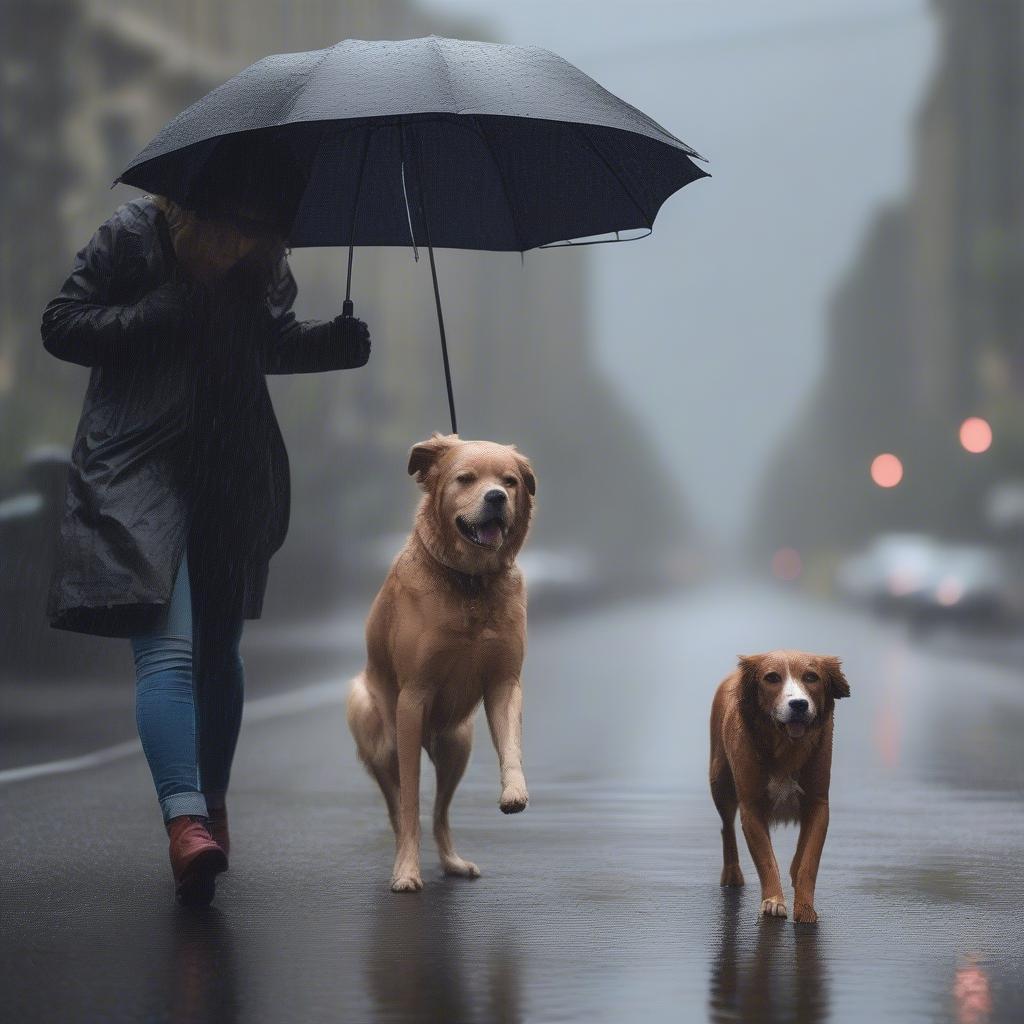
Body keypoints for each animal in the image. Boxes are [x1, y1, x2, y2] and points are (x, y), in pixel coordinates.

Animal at [346, 432, 536, 888]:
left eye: (510, 481)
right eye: (465, 478)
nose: (496, 496)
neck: (470, 584)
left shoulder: (504, 682)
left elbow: (511, 745)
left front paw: (514, 792)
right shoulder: (413, 697)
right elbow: (410, 801)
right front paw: (407, 872)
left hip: (457, 744)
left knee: (441, 814)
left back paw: (452, 861)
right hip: (376, 730)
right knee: (401, 808)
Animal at [712, 651, 847, 925]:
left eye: (811, 677)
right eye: (772, 678)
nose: (799, 704)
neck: (786, 744)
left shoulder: (818, 803)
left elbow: (809, 860)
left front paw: (805, 908)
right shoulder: (751, 807)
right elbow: (765, 857)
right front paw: (773, 901)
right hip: (719, 783)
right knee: (726, 827)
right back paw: (732, 875)